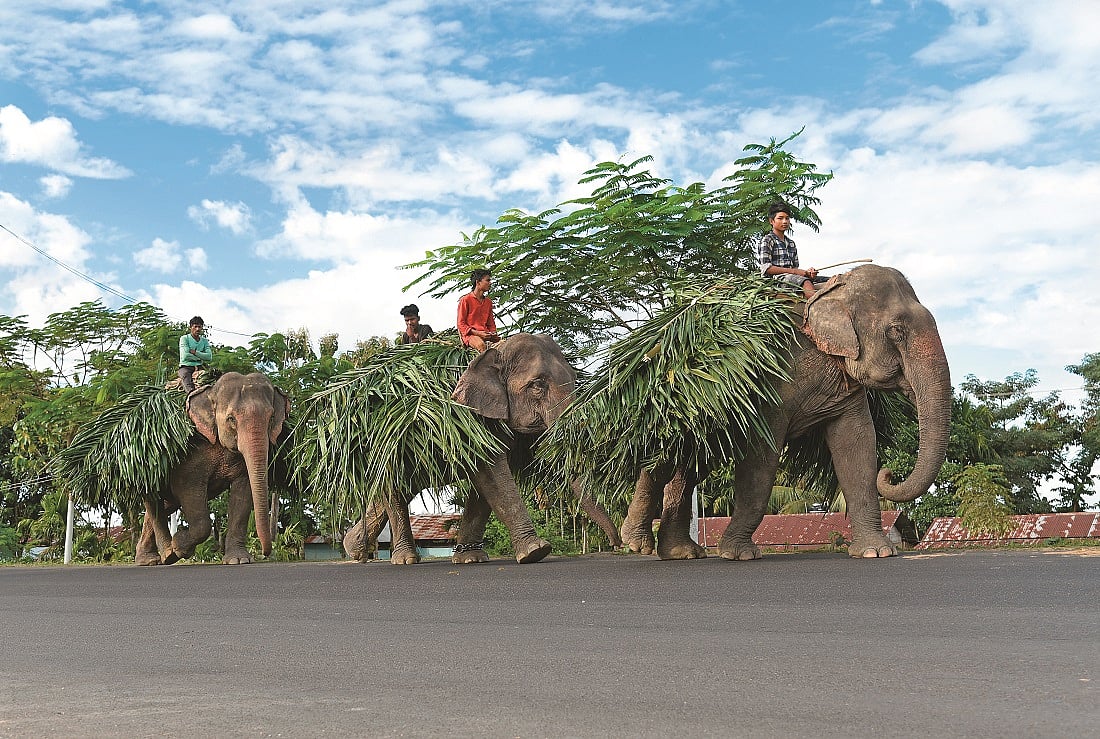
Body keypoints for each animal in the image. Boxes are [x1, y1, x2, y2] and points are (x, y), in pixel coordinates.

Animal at [135, 372, 290, 565]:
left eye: (271, 418)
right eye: (231, 419)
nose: (265, 553)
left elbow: (243, 493)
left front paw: (239, 560)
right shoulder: (191, 452)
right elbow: (189, 490)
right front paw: (179, 547)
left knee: (164, 507)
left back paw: (152, 558)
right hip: (146, 469)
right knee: (154, 502)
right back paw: (165, 555)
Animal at [342, 332, 623, 565]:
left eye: (575, 380)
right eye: (537, 385)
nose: (617, 544)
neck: (494, 353)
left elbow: (484, 483)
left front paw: (471, 559)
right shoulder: (470, 416)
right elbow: (490, 471)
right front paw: (535, 552)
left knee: (398, 489)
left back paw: (354, 550)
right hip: (385, 441)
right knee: (394, 488)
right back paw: (404, 560)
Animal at [620, 264, 951, 560]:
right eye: (896, 332)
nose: (890, 473)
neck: (830, 293)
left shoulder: (845, 384)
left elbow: (858, 446)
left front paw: (876, 552)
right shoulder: (770, 379)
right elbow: (761, 458)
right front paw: (739, 554)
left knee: (688, 464)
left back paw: (680, 553)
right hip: (676, 401)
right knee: (664, 457)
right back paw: (637, 544)